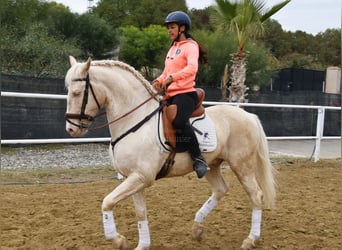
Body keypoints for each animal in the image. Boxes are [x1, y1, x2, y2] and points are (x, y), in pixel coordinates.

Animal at [65, 56, 276, 250]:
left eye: (77, 93)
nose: (71, 129)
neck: (135, 120)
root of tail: (248, 115)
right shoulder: (133, 178)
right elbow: (140, 212)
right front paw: (142, 245)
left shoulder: (142, 177)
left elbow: (107, 202)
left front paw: (119, 240)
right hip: (212, 165)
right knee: (220, 189)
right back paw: (197, 228)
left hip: (242, 165)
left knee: (255, 195)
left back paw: (250, 239)